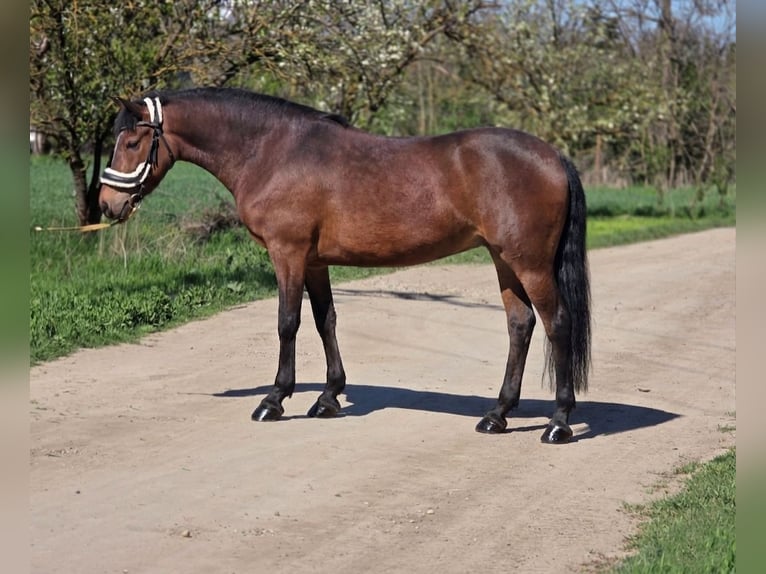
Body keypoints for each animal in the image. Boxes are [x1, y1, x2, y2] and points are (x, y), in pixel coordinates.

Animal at [99, 87, 591, 443]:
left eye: (132, 141)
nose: (107, 205)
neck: (273, 151)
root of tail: (554, 156)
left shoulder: (288, 253)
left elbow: (288, 323)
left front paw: (274, 399)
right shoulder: (314, 262)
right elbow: (325, 320)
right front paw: (328, 397)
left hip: (529, 263)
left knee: (557, 324)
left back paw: (559, 422)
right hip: (503, 259)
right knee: (520, 324)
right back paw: (497, 414)